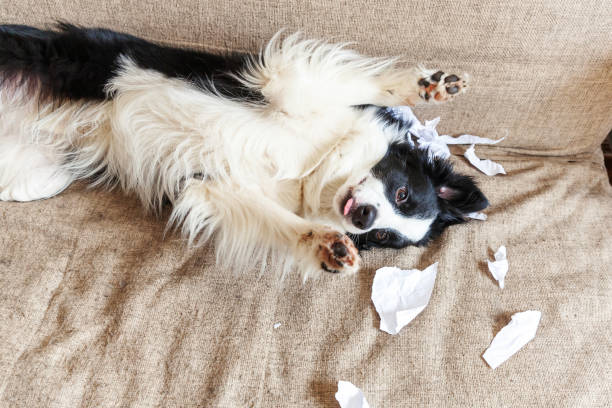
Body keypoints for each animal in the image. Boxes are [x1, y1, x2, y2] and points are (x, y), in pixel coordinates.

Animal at [0, 23, 488, 278]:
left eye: (384, 238)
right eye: (402, 192)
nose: (365, 219)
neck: (317, 164)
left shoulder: (212, 187)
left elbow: (280, 222)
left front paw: (327, 246)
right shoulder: (289, 81)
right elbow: (360, 84)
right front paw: (426, 86)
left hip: (37, 170)